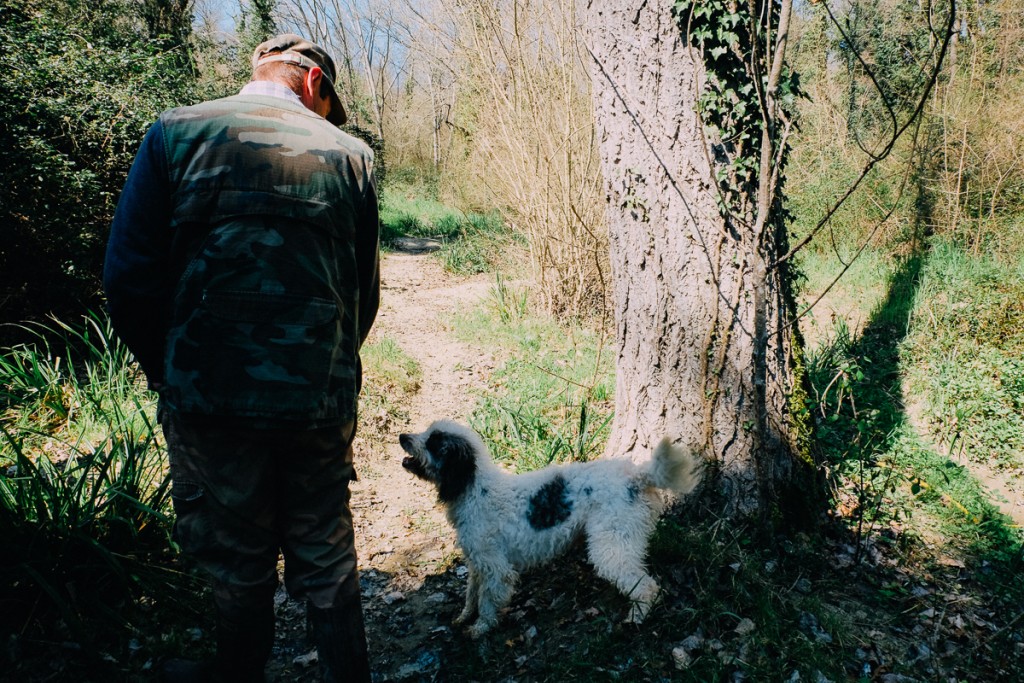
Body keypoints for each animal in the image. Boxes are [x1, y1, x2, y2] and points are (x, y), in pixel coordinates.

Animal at [395, 419, 700, 638]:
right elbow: (471, 595)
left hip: (611, 548)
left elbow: (487, 602)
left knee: (647, 587)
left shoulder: (497, 569)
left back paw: (637, 618)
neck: (474, 490)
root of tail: (638, 475)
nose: (402, 437)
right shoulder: (477, 563)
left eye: (435, 442)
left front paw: (481, 628)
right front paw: (463, 617)